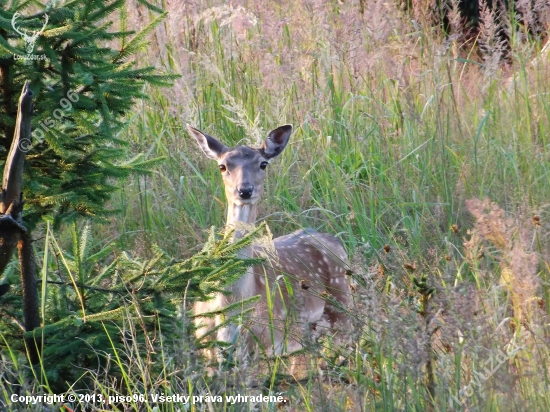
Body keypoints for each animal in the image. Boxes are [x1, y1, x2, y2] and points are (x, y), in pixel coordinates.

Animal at [188, 124, 354, 358]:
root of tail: (336, 241)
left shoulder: (263, 343)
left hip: (342, 311)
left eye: (263, 164)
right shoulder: (206, 343)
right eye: (222, 166)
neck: (230, 304)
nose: (244, 190)